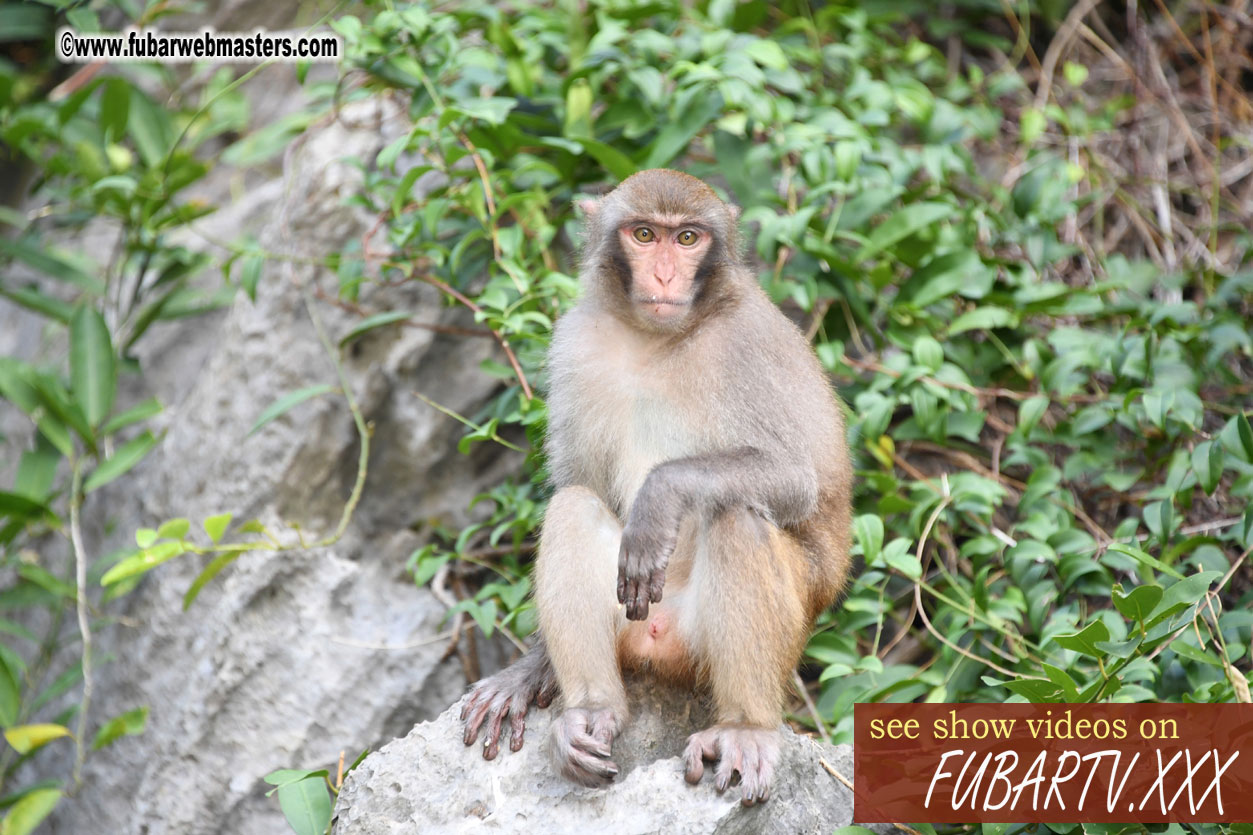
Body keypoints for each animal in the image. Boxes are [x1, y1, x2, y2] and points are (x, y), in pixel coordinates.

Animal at [461, 168, 852, 802]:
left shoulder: (748, 346)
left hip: (740, 639)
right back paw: (591, 712)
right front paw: (532, 668)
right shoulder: (576, 342)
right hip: (631, 620)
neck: (656, 340)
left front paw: (659, 499)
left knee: (736, 515)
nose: (666, 274)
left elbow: (795, 480)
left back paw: (745, 729)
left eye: (688, 238)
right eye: (645, 234)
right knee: (573, 505)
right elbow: (579, 480)